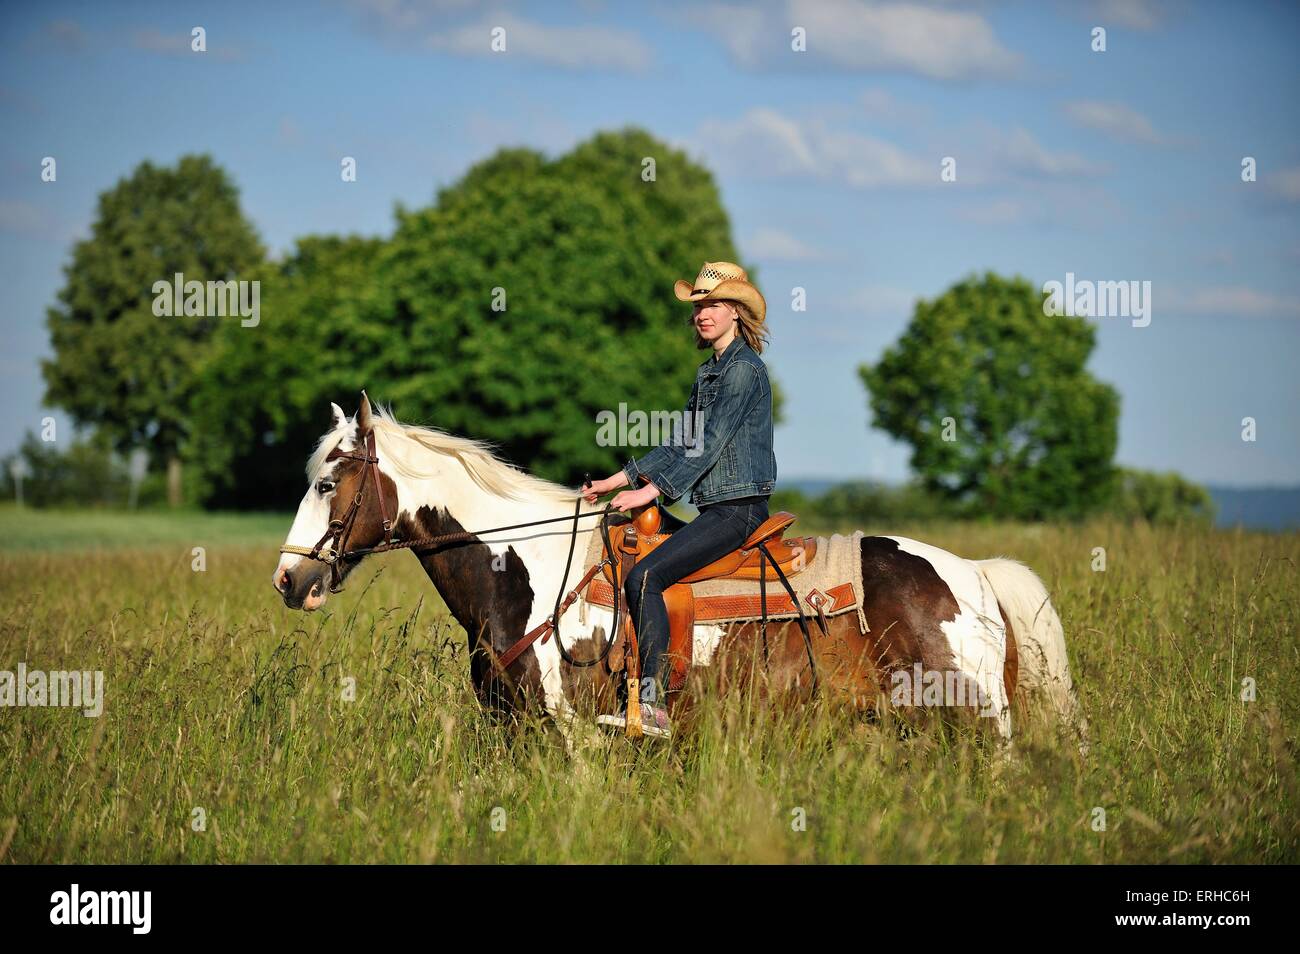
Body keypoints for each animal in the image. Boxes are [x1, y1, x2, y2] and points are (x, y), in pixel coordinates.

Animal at [272, 393, 1088, 750]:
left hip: (976, 725)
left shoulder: (570, 735)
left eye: (327, 482)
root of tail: (974, 575)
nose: (288, 580)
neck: (522, 572)